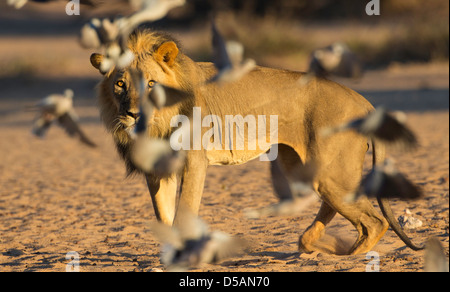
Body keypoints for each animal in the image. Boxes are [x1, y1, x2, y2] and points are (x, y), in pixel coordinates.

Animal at [90, 28, 422, 254]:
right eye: (120, 84)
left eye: (151, 84)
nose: (134, 114)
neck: (157, 124)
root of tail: (365, 102)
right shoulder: (156, 171)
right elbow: (163, 213)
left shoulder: (194, 161)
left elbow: (184, 211)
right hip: (303, 166)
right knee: (337, 207)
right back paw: (310, 243)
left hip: (332, 173)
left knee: (374, 221)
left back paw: (345, 256)